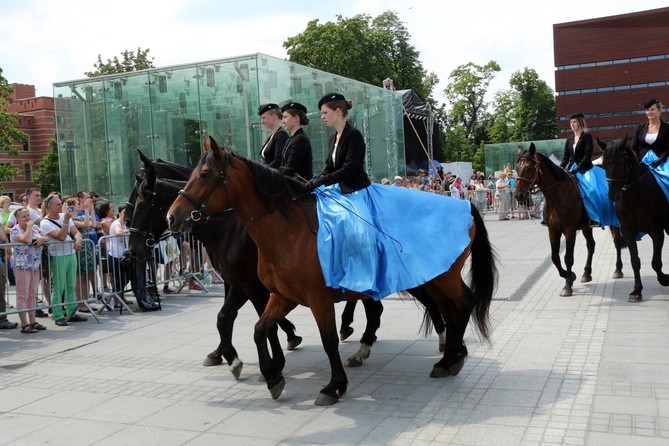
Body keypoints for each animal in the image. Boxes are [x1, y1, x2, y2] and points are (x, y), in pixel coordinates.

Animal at [167, 135, 496, 404]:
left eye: (205, 174)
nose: (174, 217)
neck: (287, 231)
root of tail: (464, 205)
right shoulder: (279, 295)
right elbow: (260, 328)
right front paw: (272, 376)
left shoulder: (315, 299)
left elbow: (327, 341)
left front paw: (332, 386)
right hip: (433, 277)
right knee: (446, 308)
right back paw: (447, 354)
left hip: (440, 276)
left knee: (462, 303)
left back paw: (448, 359)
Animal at [600, 138, 668, 302]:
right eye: (604, 165)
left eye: (620, 163)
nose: (613, 196)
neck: (635, 197)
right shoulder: (628, 231)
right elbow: (635, 261)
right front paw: (637, 290)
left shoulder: (657, 231)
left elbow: (656, 262)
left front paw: (664, 279)